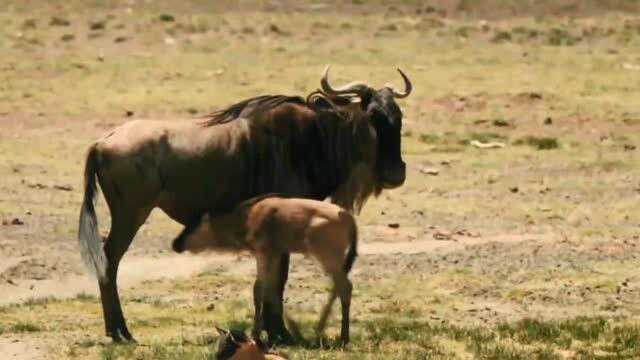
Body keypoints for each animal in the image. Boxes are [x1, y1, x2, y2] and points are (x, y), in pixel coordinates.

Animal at [172, 195, 358, 344]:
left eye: (194, 224)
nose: (175, 244)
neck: (249, 217)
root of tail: (348, 218)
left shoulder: (263, 253)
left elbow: (259, 289)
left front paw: (256, 335)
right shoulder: (274, 255)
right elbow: (271, 289)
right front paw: (289, 331)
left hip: (326, 256)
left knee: (344, 286)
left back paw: (340, 336)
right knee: (338, 287)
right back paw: (329, 331)